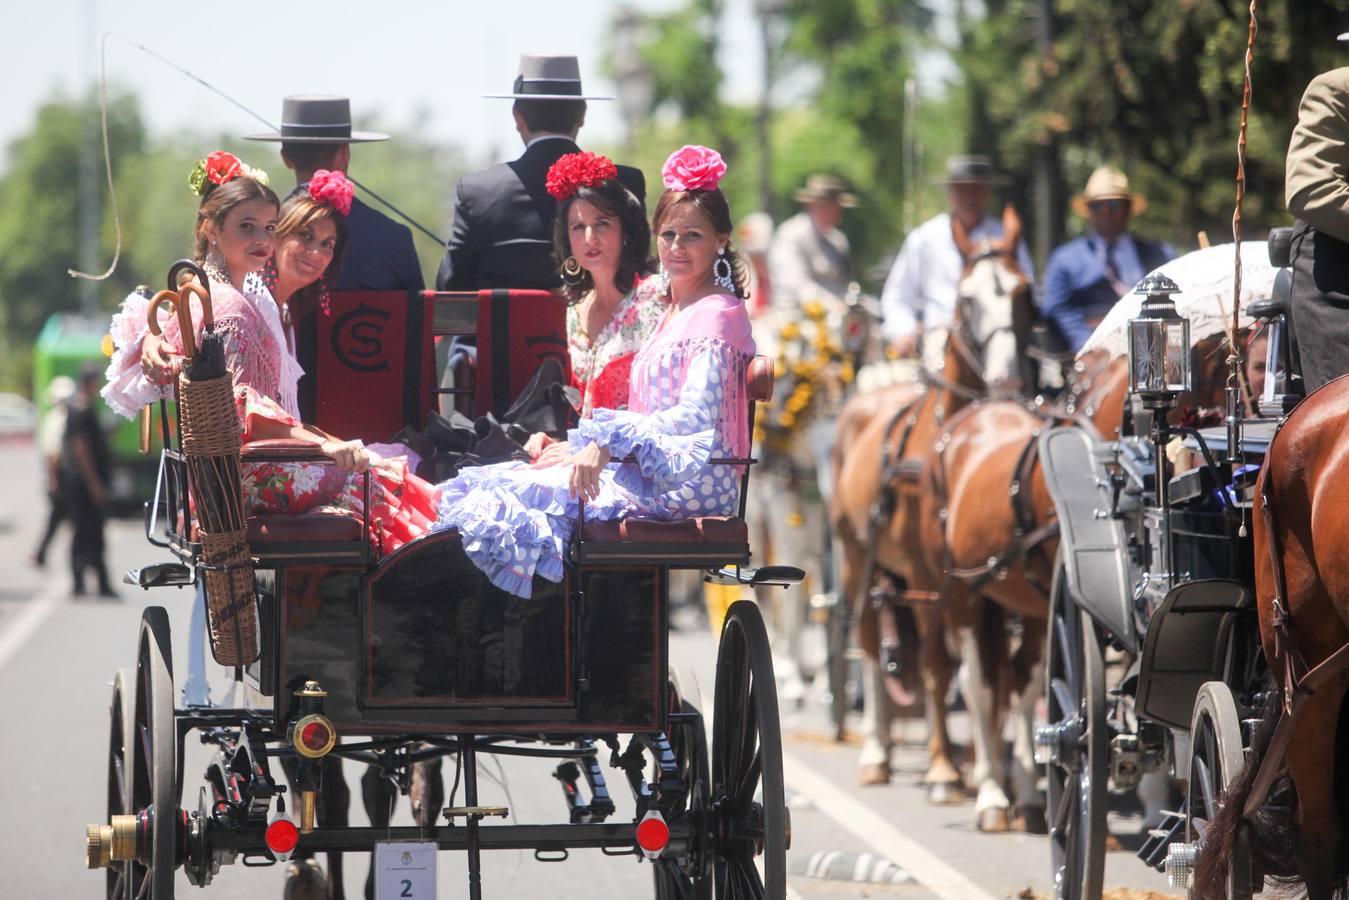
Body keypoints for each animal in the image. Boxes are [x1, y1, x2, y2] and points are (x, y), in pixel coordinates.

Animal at [825, 207, 1025, 798]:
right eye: (967, 299)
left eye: (1022, 292)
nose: (1006, 376)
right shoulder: (931, 576)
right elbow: (941, 666)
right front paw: (943, 767)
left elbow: (977, 665)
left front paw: (979, 764)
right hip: (856, 560)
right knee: (870, 643)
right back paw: (876, 748)